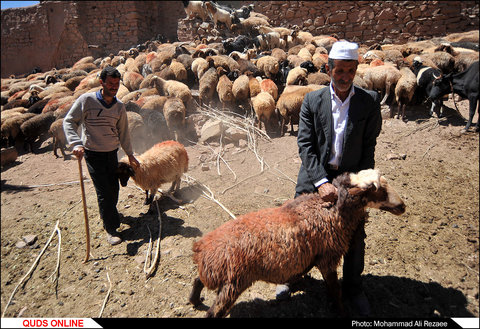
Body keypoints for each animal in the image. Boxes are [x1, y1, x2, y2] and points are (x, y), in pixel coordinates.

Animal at [189, 168, 406, 316]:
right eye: (375, 190)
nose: (402, 206)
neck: (329, 211)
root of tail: (201, 250)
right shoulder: (327, 258)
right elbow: (335, 290)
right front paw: (341, 311)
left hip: (221, 277)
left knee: (198, 280)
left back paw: (194, 300)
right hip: (233, 282)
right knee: (213, 313)